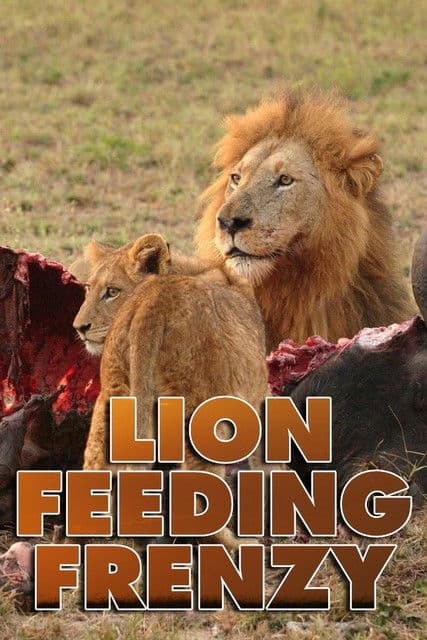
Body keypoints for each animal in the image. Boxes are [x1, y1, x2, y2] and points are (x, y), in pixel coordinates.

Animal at [73, 233, 267, 548]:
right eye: (90, 289)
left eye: (111, 291)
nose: (79, 327)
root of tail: (152, 301)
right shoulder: (260, 392)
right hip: (199, 405)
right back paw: (236, 545)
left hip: (113, 397)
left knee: (94, 466)